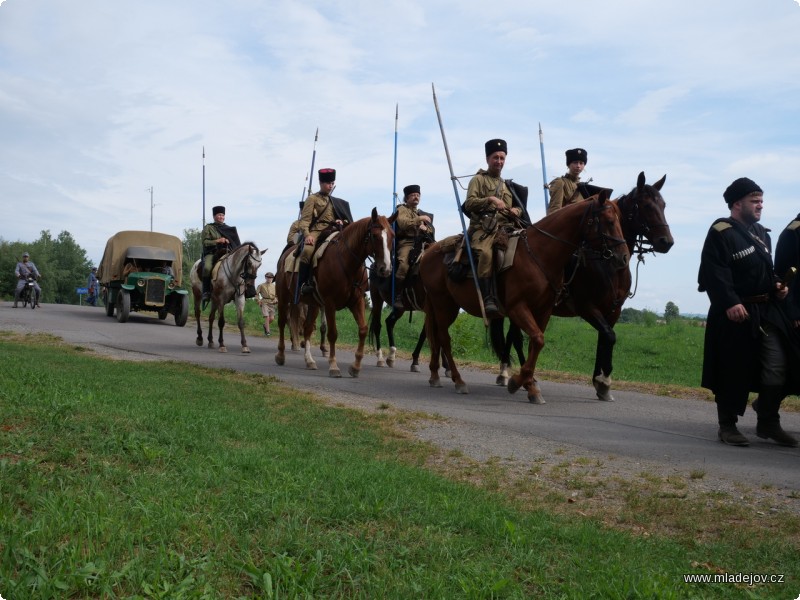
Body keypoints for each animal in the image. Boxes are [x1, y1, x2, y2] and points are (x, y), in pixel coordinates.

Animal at [276, 206, 394, 376]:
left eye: (392, 236)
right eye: (374, 235)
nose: (386, 269)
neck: (347, 262)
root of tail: (287, 253)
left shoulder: (357, 301)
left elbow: (363, 329)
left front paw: (355, 366)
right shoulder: (330, 303)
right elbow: (332, 333)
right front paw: (333, 366)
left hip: (314, 304)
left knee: (307, 328)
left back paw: (309, 361)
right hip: (284, 297)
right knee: (281, 322)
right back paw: (280, 355)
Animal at [422, 192, 628, 404]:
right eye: (610, 221)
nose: (623, 257)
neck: (539, 253)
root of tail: (428, 252)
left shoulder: (544, 310)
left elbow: (535, 343)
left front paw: (529, 385)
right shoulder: (518, 308)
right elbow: (537, 339)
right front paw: (518, 382)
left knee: (437, 336)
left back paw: (435, 376)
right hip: (443, 304)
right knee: (444, 338)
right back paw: (458, 380)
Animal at [490, 171, 672, 400]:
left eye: (663, 205)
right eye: (646, 205)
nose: (667, 241)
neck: (608, 265)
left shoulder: (613, 311)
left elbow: (605, 340)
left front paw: (601, 383)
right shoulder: (587, 307)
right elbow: (609, 337)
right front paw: (604, 381)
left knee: (515, 336)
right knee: (516, 337)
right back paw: (514, 376)